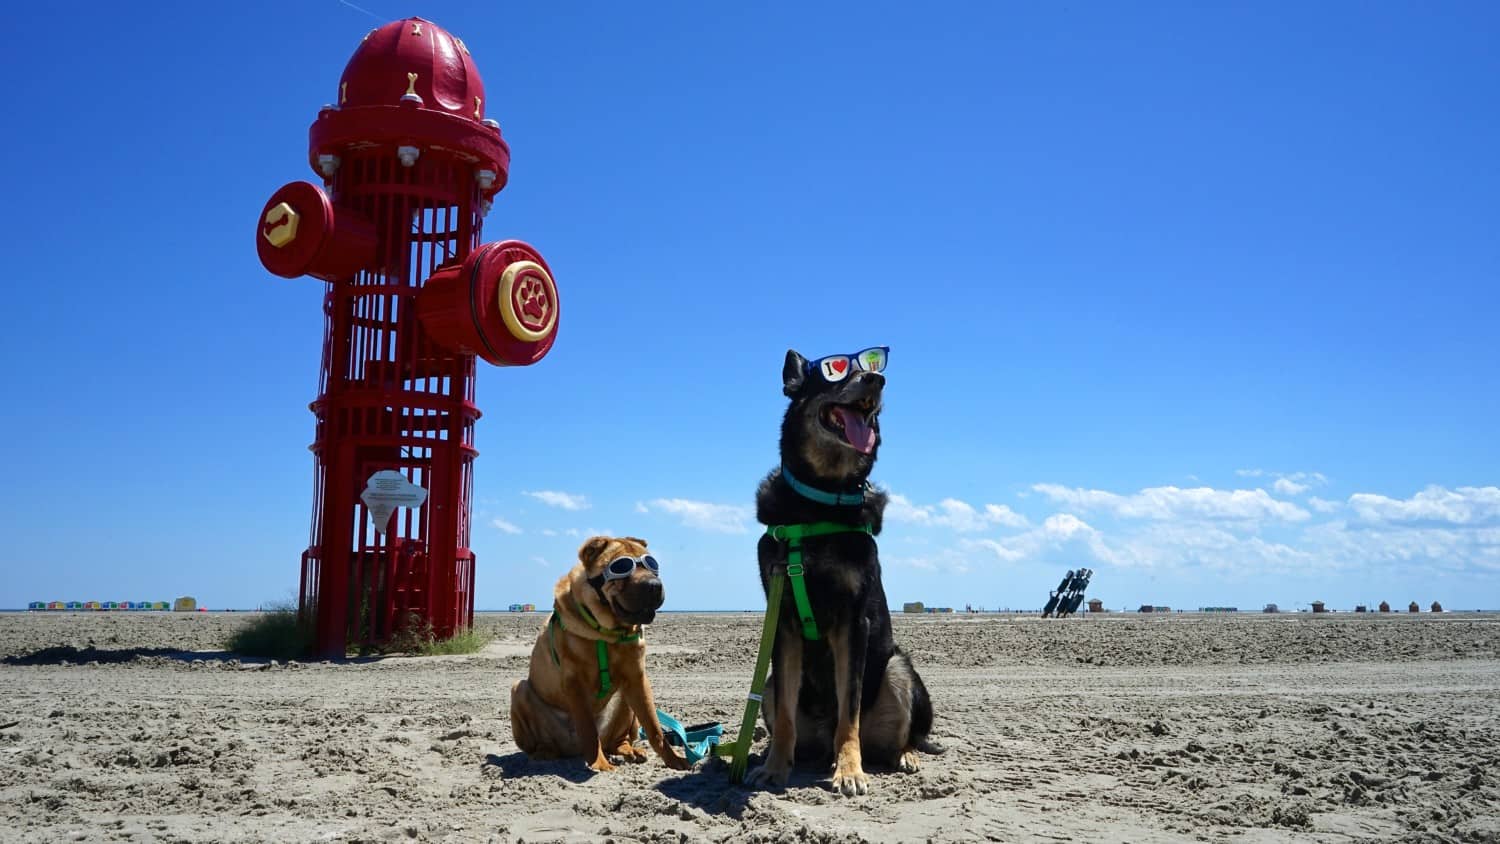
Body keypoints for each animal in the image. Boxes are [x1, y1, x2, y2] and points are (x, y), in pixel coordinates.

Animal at [507, 533, 687, 773]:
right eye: (621, 566)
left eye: (653, 565)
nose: (654, 585)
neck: (607, 634)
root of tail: (572, 748)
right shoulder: (575, 683)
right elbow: (589, 730)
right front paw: (599, 763)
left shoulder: (637, 678)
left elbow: (655, 728)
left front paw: (675, 760)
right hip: (519, 690)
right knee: (548, 741)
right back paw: (545, 752)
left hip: (625, 703)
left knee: (617, 740)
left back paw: (630, 750)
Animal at [747, 346, 936, 797]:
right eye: (834, 371)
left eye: (872, 365)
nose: (877, 381)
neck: (820, 499)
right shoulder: (783, 622)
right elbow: (785, 716)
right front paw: (774, 768)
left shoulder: (854, 622)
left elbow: (849, 708)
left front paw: (850, 771)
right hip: (770, 683)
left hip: (899, 668)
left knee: (896, 737)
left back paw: (902, 755)